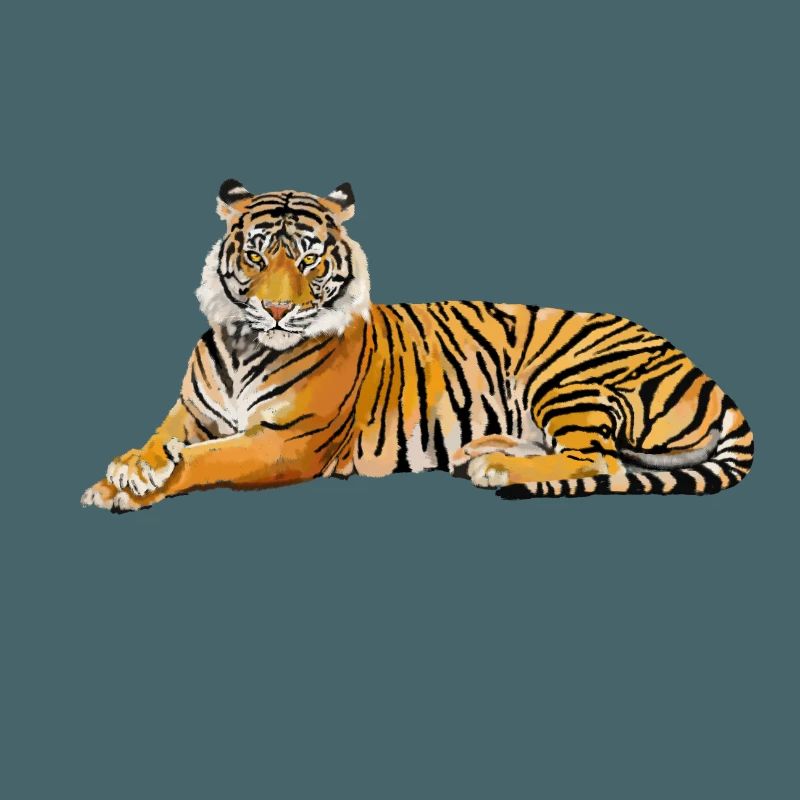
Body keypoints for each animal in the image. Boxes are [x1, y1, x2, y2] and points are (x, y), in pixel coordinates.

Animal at [81, 179, 754, 512]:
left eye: (308, 258)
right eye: (256, 255)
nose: (275, 309)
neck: (246, 344)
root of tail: (704, 372)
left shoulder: (287, 444)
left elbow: (204, 459)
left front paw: (133, 488)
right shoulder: (191, 412)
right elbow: (162, 440)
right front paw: (125, 471)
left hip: (567, 376)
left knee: (601, 461)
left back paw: (496, 467)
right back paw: (485, 450)